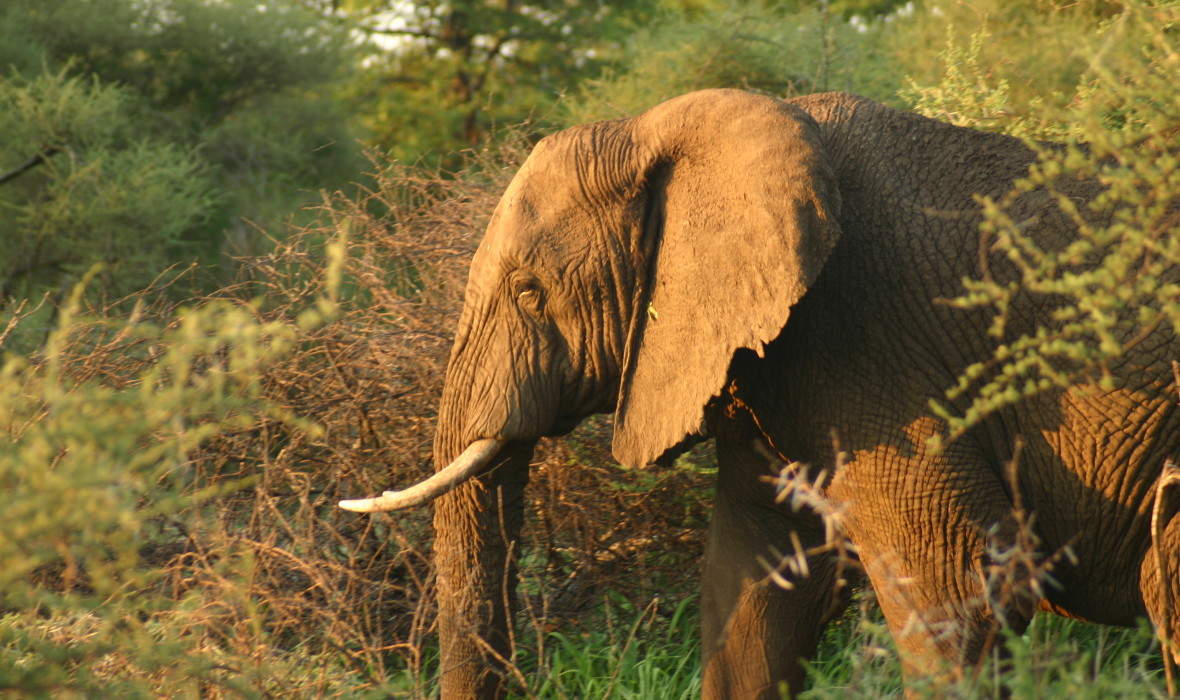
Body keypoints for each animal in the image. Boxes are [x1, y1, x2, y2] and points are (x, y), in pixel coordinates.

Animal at [341, 89, 1180, 698]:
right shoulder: (768, 368)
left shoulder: (864, 342)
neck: (663, 130)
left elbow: (957, 580)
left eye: (530, 293)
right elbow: (758, 588)